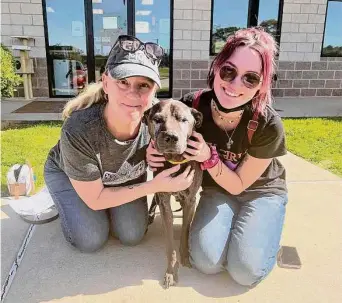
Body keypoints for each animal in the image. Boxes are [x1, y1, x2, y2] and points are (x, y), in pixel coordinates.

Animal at [144, 100, 203, 290]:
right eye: (157, 119)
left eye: (183, 119)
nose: (171, 137)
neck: (175, 161)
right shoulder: (164, 201)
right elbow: (170, 244)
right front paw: (170, 271)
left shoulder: (191, 200)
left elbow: (185, 231)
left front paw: (185, 257)